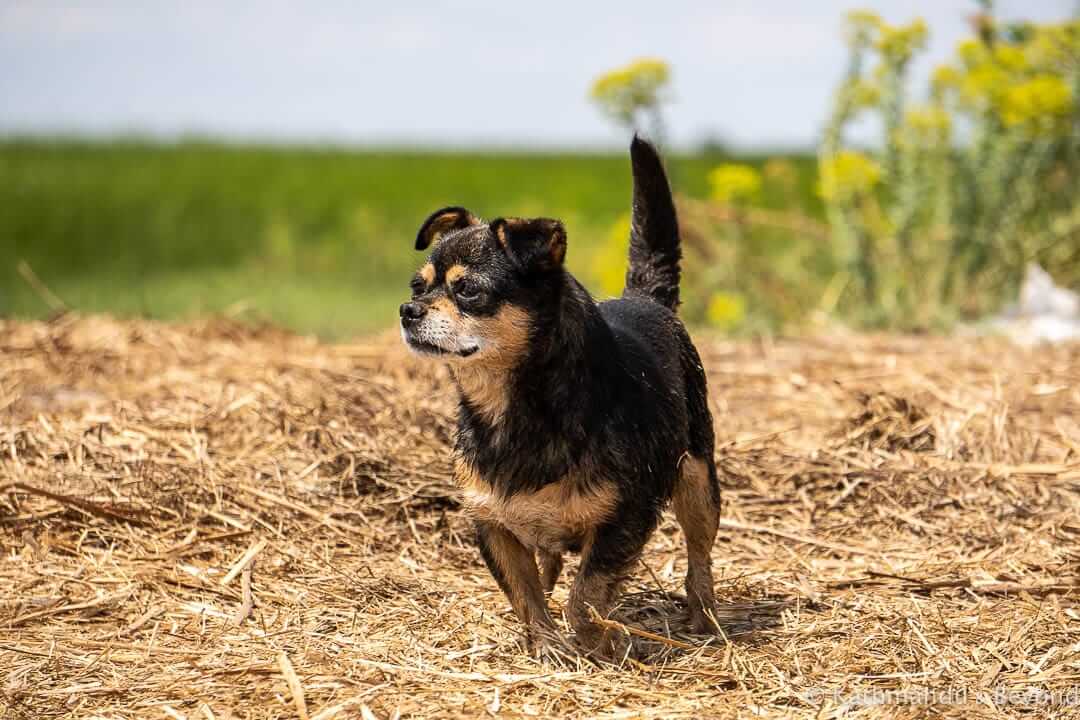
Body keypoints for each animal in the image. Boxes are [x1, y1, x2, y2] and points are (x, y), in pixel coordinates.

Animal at [397, 136, 717, 660]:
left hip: (697, 481)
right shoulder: (492, 525)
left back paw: (704, 617)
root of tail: (646, 298)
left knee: (700, 557)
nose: (408, 310)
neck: (509, 408)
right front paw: (545, 645)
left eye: (468, 290)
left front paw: (596, 643)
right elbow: (525, 595)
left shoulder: (625, 521)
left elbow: (585, 596)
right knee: (547, 561)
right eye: (418, 286)